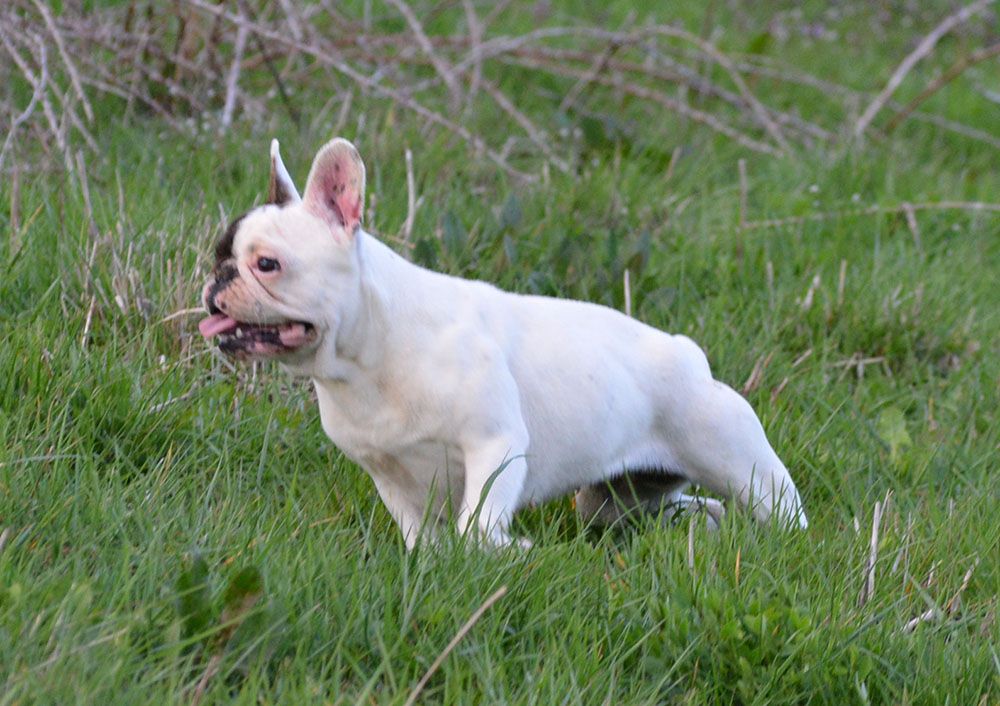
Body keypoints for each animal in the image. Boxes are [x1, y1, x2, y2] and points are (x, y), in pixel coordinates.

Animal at [199, 138, 808, 544]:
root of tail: (687, 353)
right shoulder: (389, 473)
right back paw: (703, 522)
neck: (367, 357)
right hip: (612, 499)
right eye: (219, 253)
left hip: (743, 463)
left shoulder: (495, 445)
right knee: (672, 508)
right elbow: (422, 537)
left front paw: (503, 551)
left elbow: (476, 526)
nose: (217, 281)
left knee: (780, 511)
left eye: (267, 264)